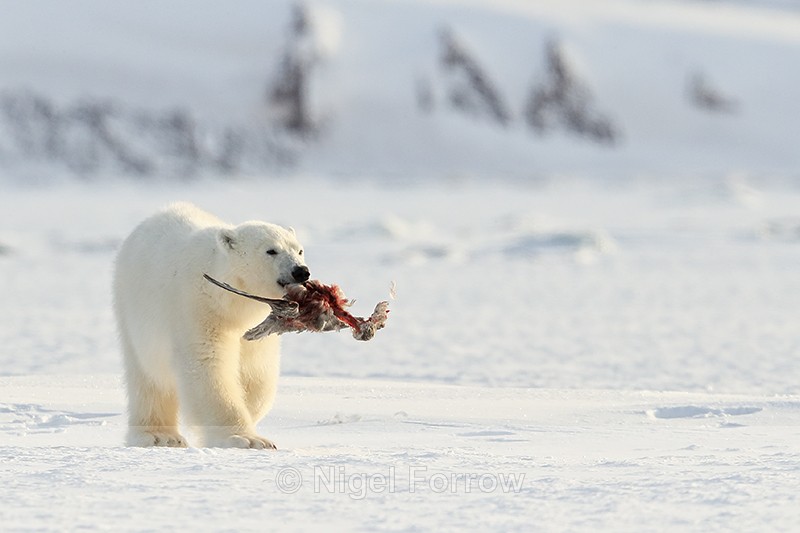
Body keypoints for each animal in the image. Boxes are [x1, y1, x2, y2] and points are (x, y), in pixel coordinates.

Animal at [112, 202, 309, 449]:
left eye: (299, 250)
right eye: (271, 251)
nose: (301, 271)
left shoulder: (257, 326)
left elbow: (256, 370)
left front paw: (249, 411)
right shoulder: (198, 309)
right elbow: (208, 366)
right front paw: (246, 439)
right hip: (133, 311)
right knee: (148, 378)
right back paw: (159, 436)